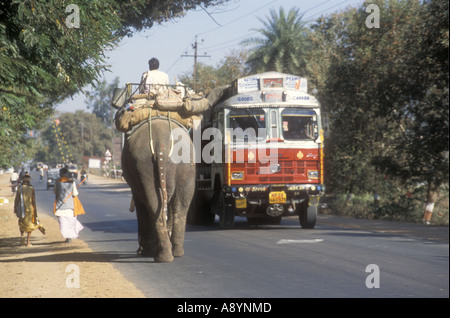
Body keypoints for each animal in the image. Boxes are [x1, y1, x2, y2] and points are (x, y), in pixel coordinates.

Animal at [121, 118, 195, 262]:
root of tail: (161, 144)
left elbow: (140, 204)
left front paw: (143, 251)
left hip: (143, 166)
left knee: (152, 203)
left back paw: (160, 256)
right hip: (186, 166)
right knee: (180, 205)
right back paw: (175, 253)